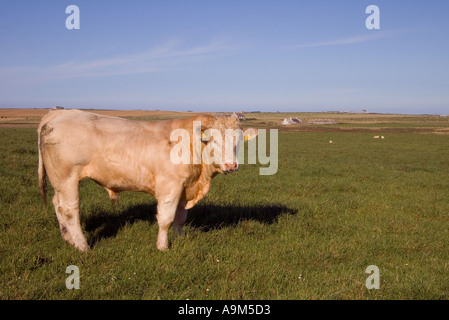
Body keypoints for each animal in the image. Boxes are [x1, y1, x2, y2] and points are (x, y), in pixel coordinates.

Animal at [38, 109, 258, 251]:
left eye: (238, 140)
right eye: (213, 139)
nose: (231, 165)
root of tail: (58, 113)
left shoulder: (184, 187)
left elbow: (180, 218)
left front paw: (179, 238)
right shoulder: (170, 187)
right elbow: (166, 219)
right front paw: (163, 246)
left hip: (59, 182)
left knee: (58, 205)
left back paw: (68, 239)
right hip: (67, 179)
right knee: (70, 211)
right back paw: (82, 245)